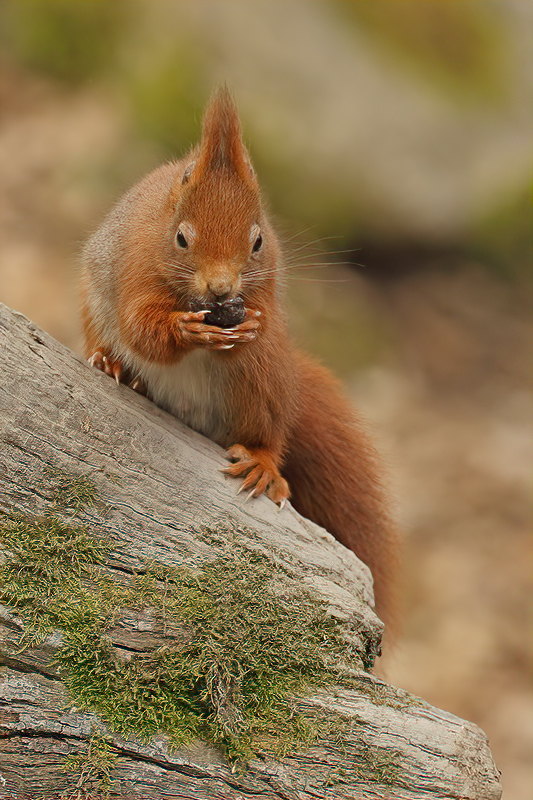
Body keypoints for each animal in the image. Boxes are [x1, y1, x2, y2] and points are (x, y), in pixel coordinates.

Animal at [80, 89, 400, 632]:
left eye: (257, 240)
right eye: (181, 238)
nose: (221, 289)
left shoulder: (267, 283)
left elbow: (261, 316)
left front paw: (246, 325)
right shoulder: (133, 271)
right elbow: (142, 330)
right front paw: (179, 331)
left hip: (263, 382)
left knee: (268, 431)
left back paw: (263, 463)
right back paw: (115, 366)